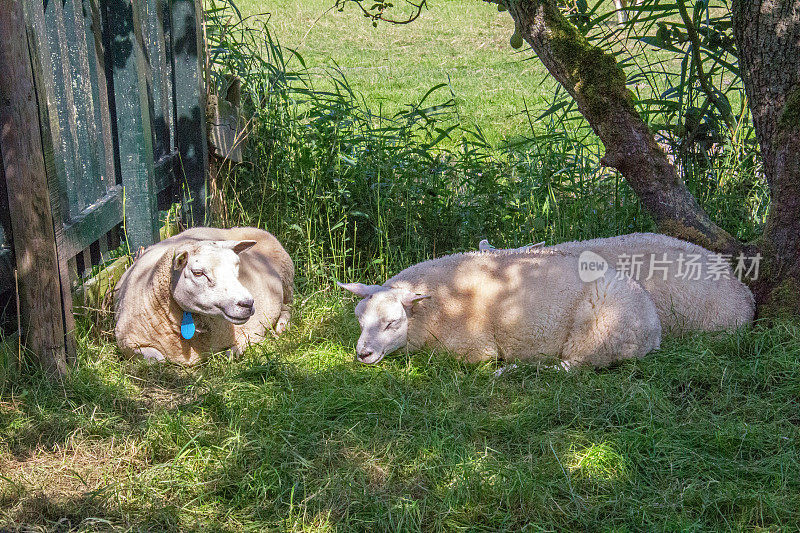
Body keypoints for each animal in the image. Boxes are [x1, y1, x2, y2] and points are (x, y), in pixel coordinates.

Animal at [115, 227, 294, 364]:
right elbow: (158, 359)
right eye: (198, 273)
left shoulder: (252, 329)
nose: (247, 303)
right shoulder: (127, 343)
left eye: (237, 265)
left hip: (287, 282)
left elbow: (231, 352)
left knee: (288, 308)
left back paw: (281, 327)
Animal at [338, 248, 664, 366]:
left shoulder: (474, 350)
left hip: (597, 337)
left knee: (569, 368)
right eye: (359, 321)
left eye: (392, 322)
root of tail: (655, 331)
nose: (362, 354)